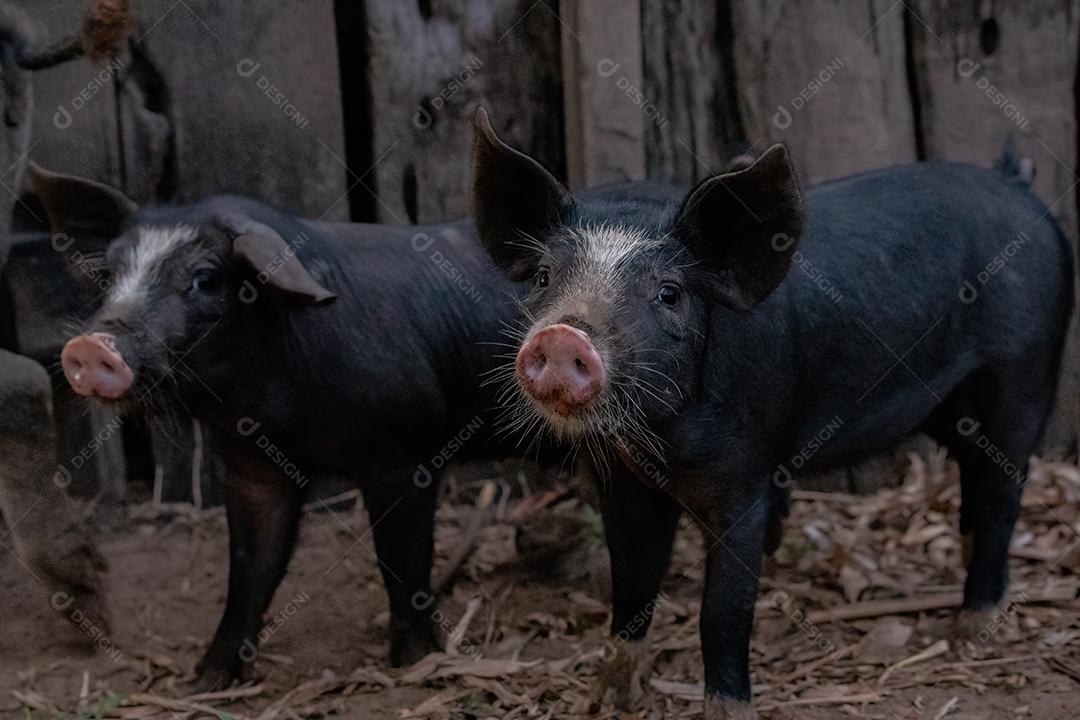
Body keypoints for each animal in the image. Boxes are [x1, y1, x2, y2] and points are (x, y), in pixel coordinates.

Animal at [31, 162, 520, 690]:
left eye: (206, 278)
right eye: (112, 275)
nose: (90, 346)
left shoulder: (404, 454)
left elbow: (402, 562)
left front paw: (414, 665)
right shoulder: (253, 464)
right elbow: (250, 570)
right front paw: (206, 682)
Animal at [470, 108, 1071, 720]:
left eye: (669, 293)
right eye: (544, 277)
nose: (563, 336)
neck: (660, 440)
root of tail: (1019, 189)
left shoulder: (745, 479)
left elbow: (722, 614)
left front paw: (728, 711)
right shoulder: (622, 480)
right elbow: (632, 583)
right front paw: (605, 701)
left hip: (1026, 369)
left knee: (1003, 492)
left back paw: (969, 631)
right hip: (955, 406)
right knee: (975, 476)